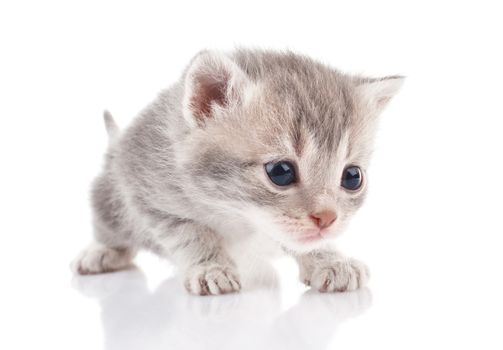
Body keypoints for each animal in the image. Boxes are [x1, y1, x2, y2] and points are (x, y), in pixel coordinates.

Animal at [72, 49, 406, 296]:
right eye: (280, 172)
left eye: (352, 177)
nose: (326, 218)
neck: (238, 215)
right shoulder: (147, 191)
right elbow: (191, 233)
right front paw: (211, 267)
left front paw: (330, 260)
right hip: (110, 199)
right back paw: (101, 252)